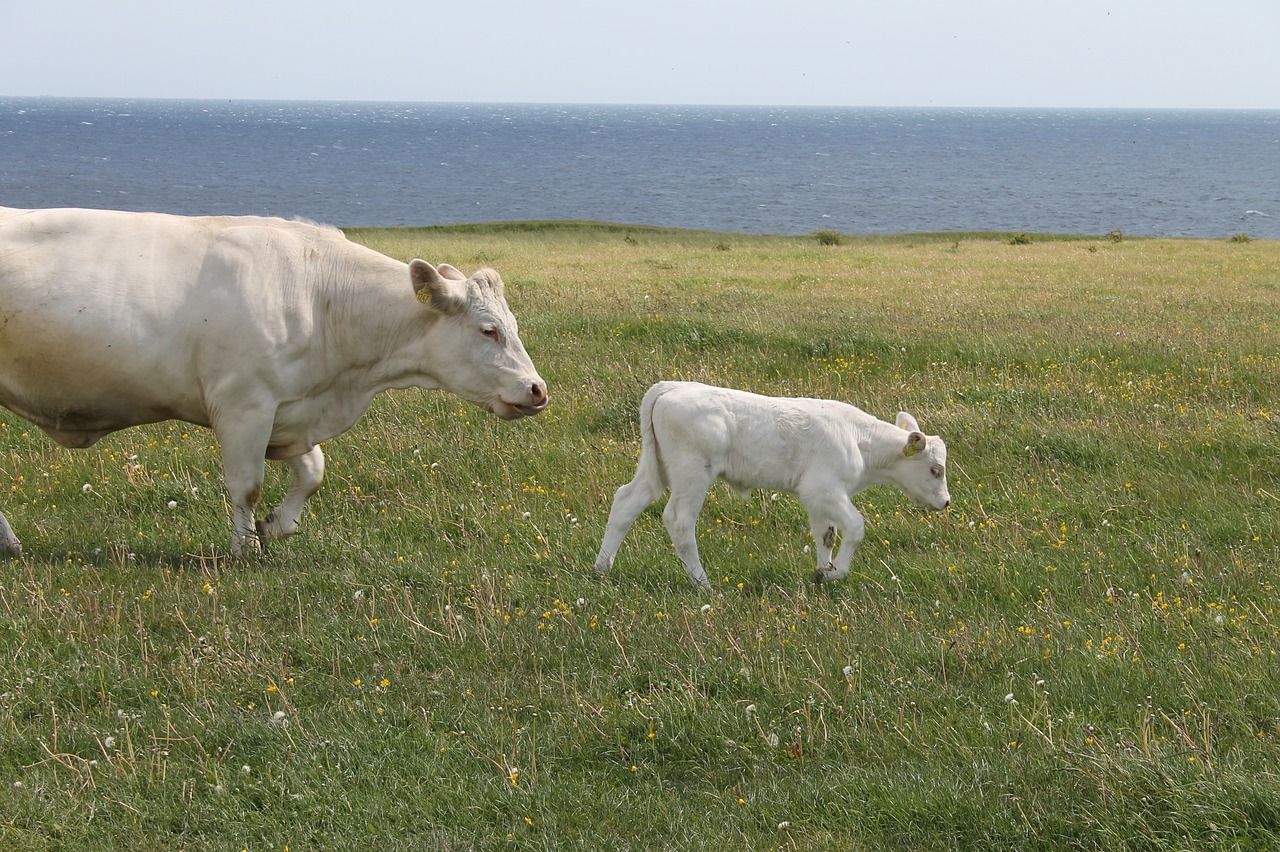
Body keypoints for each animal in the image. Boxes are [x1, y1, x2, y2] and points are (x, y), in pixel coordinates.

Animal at [0, 204, 545, 550]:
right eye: (489, 330)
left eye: (515, 325)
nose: (538, 390)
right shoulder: (245, 406)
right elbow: (246, 485)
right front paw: (244, 547)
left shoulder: (291, 409)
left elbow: (313, 473)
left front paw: (276, 526)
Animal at [591, 381, 952, 588]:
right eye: (935, 469)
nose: (946, 502)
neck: (859, 439)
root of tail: (669, 388)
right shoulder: (824, 490)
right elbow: (855, 527)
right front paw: (835, 572)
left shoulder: (819, 500)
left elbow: (826, 534)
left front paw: (821, 572)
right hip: (692, 474)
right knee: (679, 522)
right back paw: (703, 583)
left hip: (658, 469)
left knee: (626, 502)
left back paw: (601, 569)